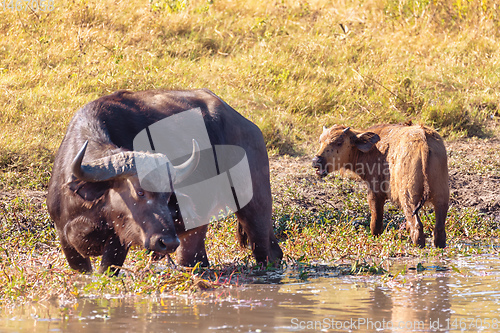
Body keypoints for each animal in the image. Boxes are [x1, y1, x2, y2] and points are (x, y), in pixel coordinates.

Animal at [47, 88, 284, 272]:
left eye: (168, 195)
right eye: (139, 191)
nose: (167, 241)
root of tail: (249, 126)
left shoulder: (118, 242)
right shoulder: (66, 241)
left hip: (254, 203)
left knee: (268, 250)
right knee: (196, 259)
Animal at [312, 124, 450, 246]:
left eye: (339, 142)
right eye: (320, 141)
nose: (316, 160)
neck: (372, 149)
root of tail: (423, 141)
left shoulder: (375, 192)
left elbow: (376, 221)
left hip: (409, 196)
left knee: (417, 226)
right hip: (442, 196)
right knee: (439, 228)